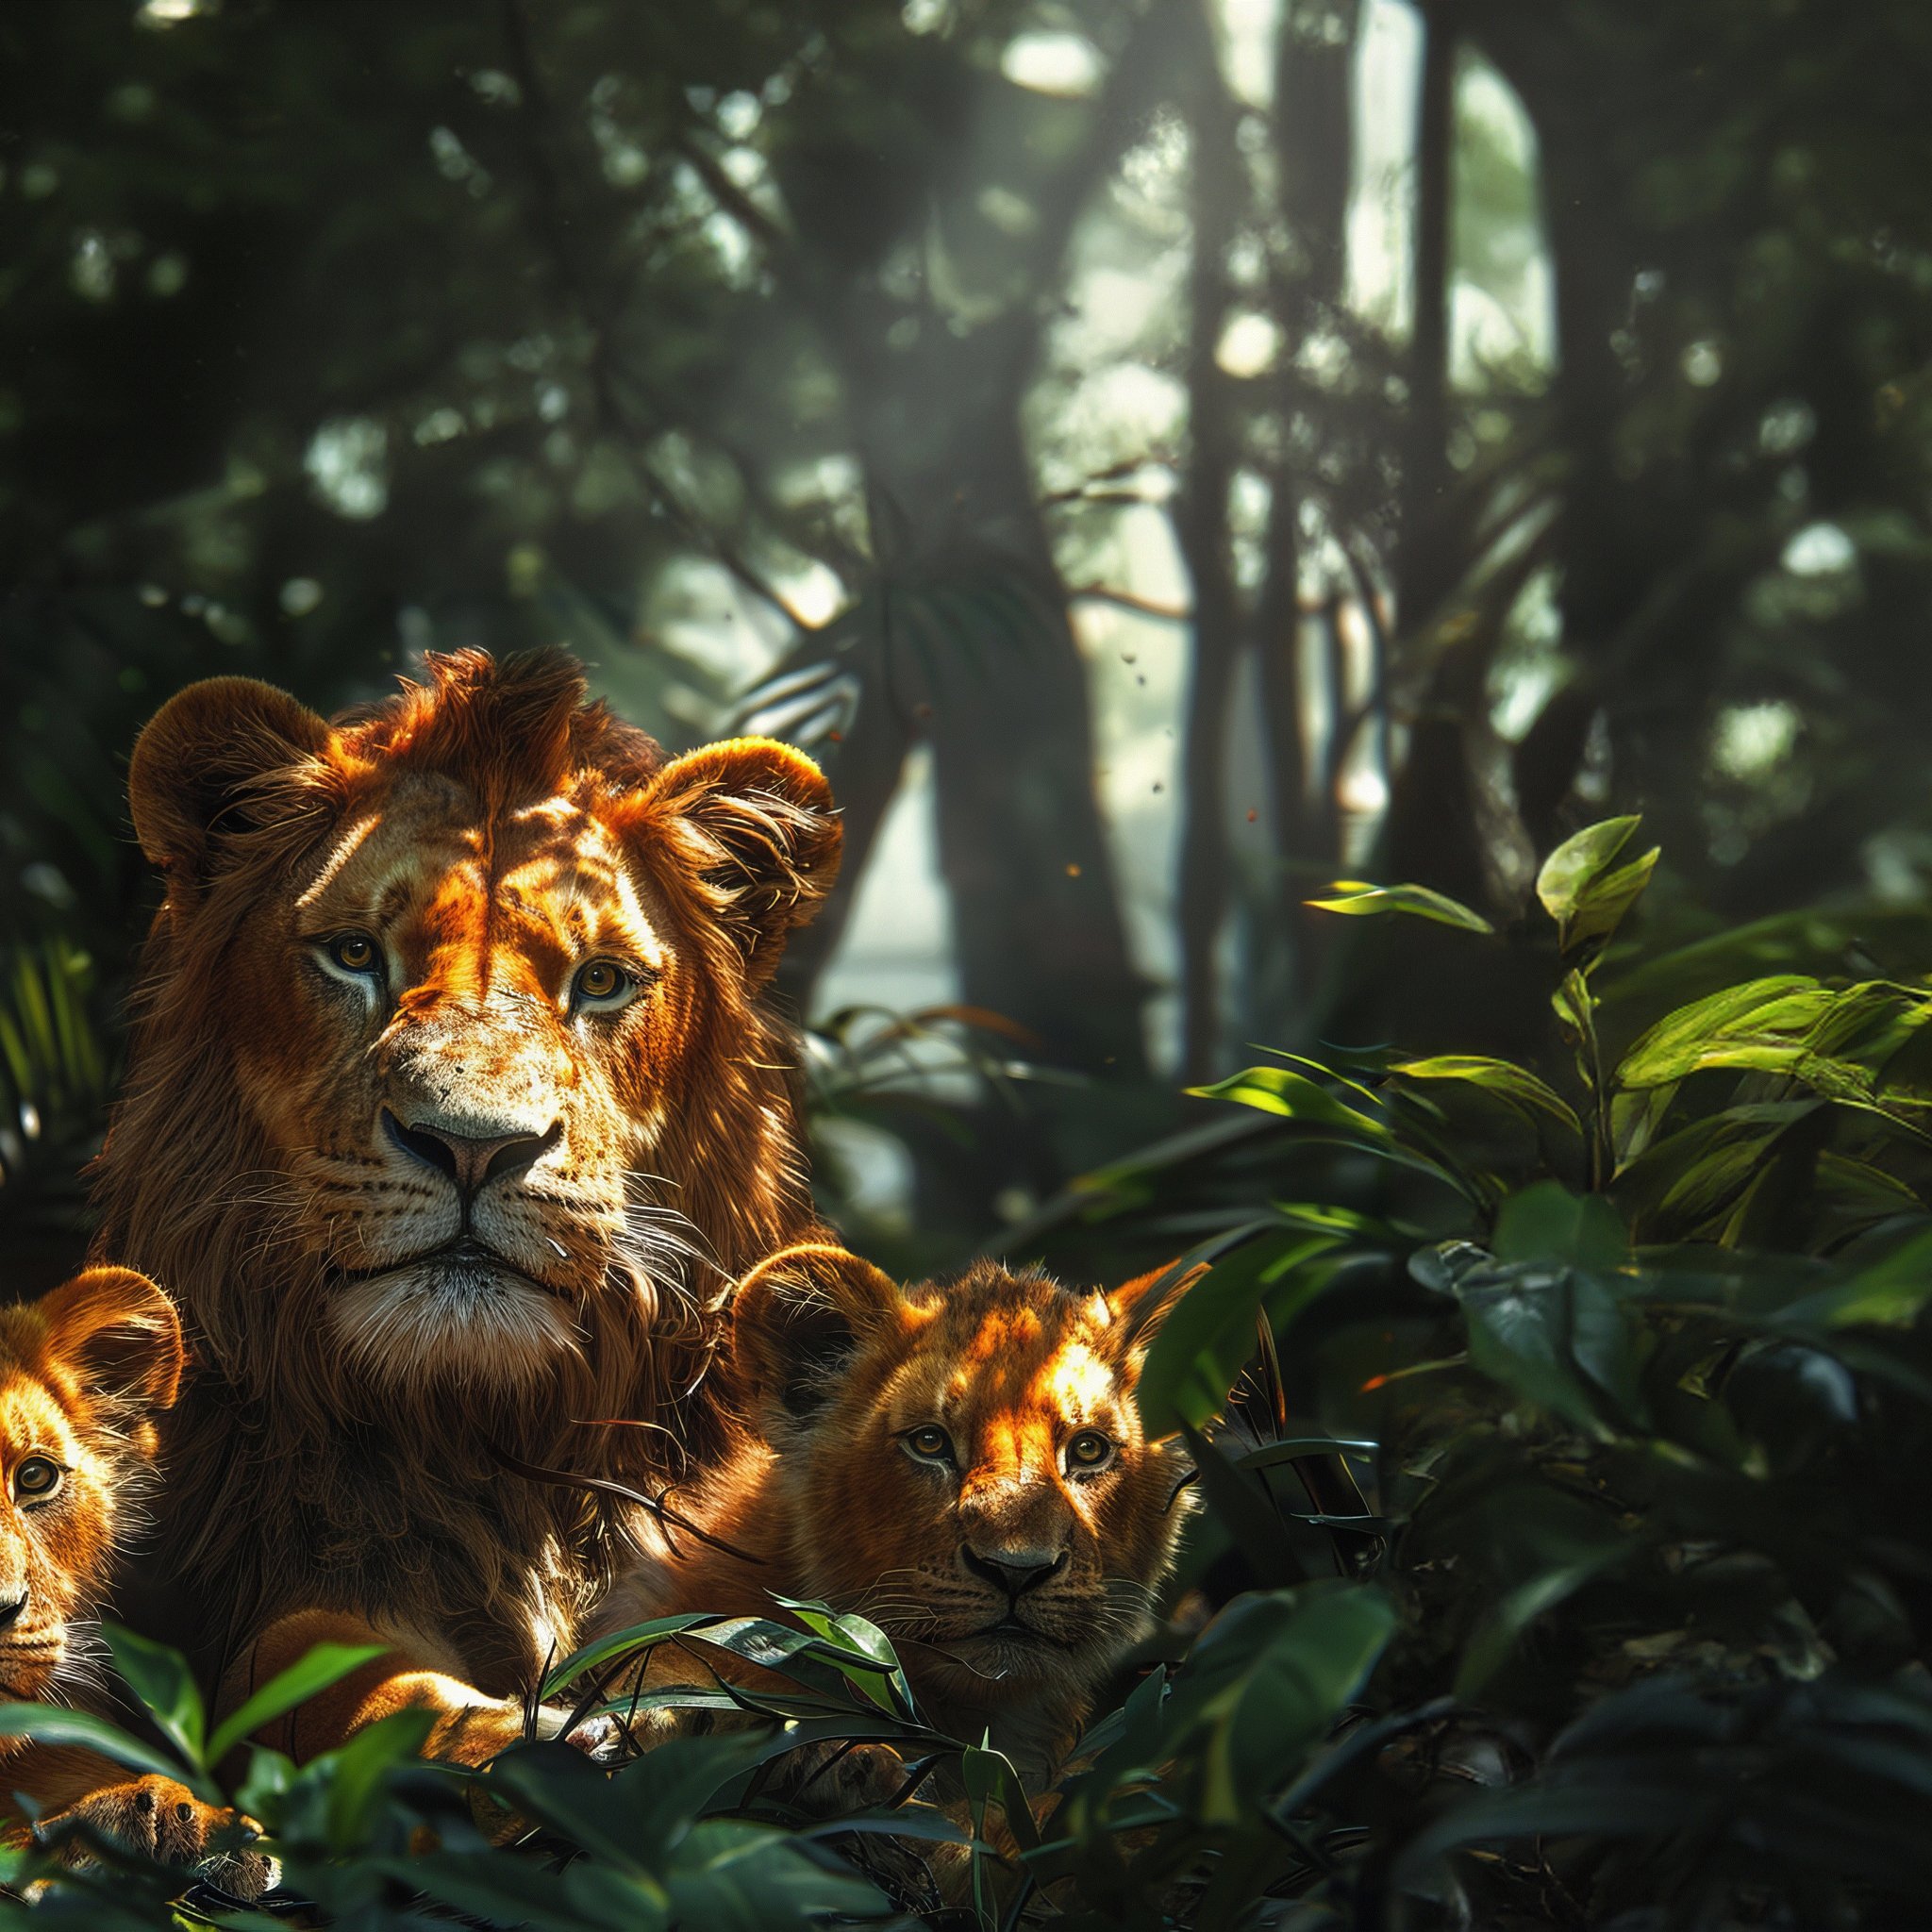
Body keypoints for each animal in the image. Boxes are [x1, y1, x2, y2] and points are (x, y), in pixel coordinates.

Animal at [92, 648, 840, 1764]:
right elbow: (323, 1657)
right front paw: (510, 1737)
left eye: (602, 981)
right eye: (355, 954)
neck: (484, 1438)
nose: (475, 1144)